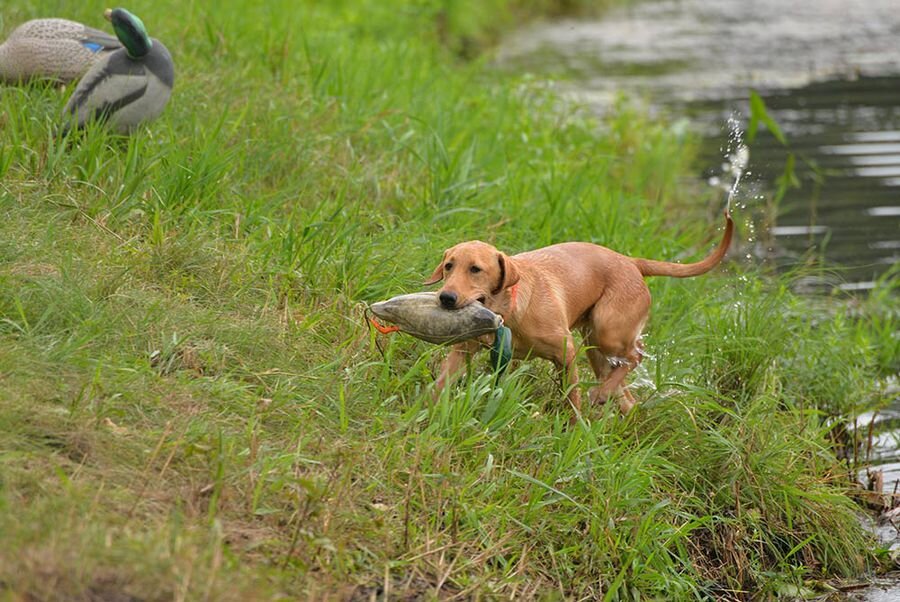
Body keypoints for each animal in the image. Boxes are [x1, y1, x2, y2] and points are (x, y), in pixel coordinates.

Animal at [424, 210, 732, 412]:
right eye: (449, 266)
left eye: (475, 269)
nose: (446, 298)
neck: (508, 311)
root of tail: (631, 262)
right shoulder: (464, 350)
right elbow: (441, 382)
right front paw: (427, 411)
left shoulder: (567, 352)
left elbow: (572, 398)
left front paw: (572, 430)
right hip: (596, 346)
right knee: (625, 389)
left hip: (607, 331)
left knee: (637, 354)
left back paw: (603, 394)